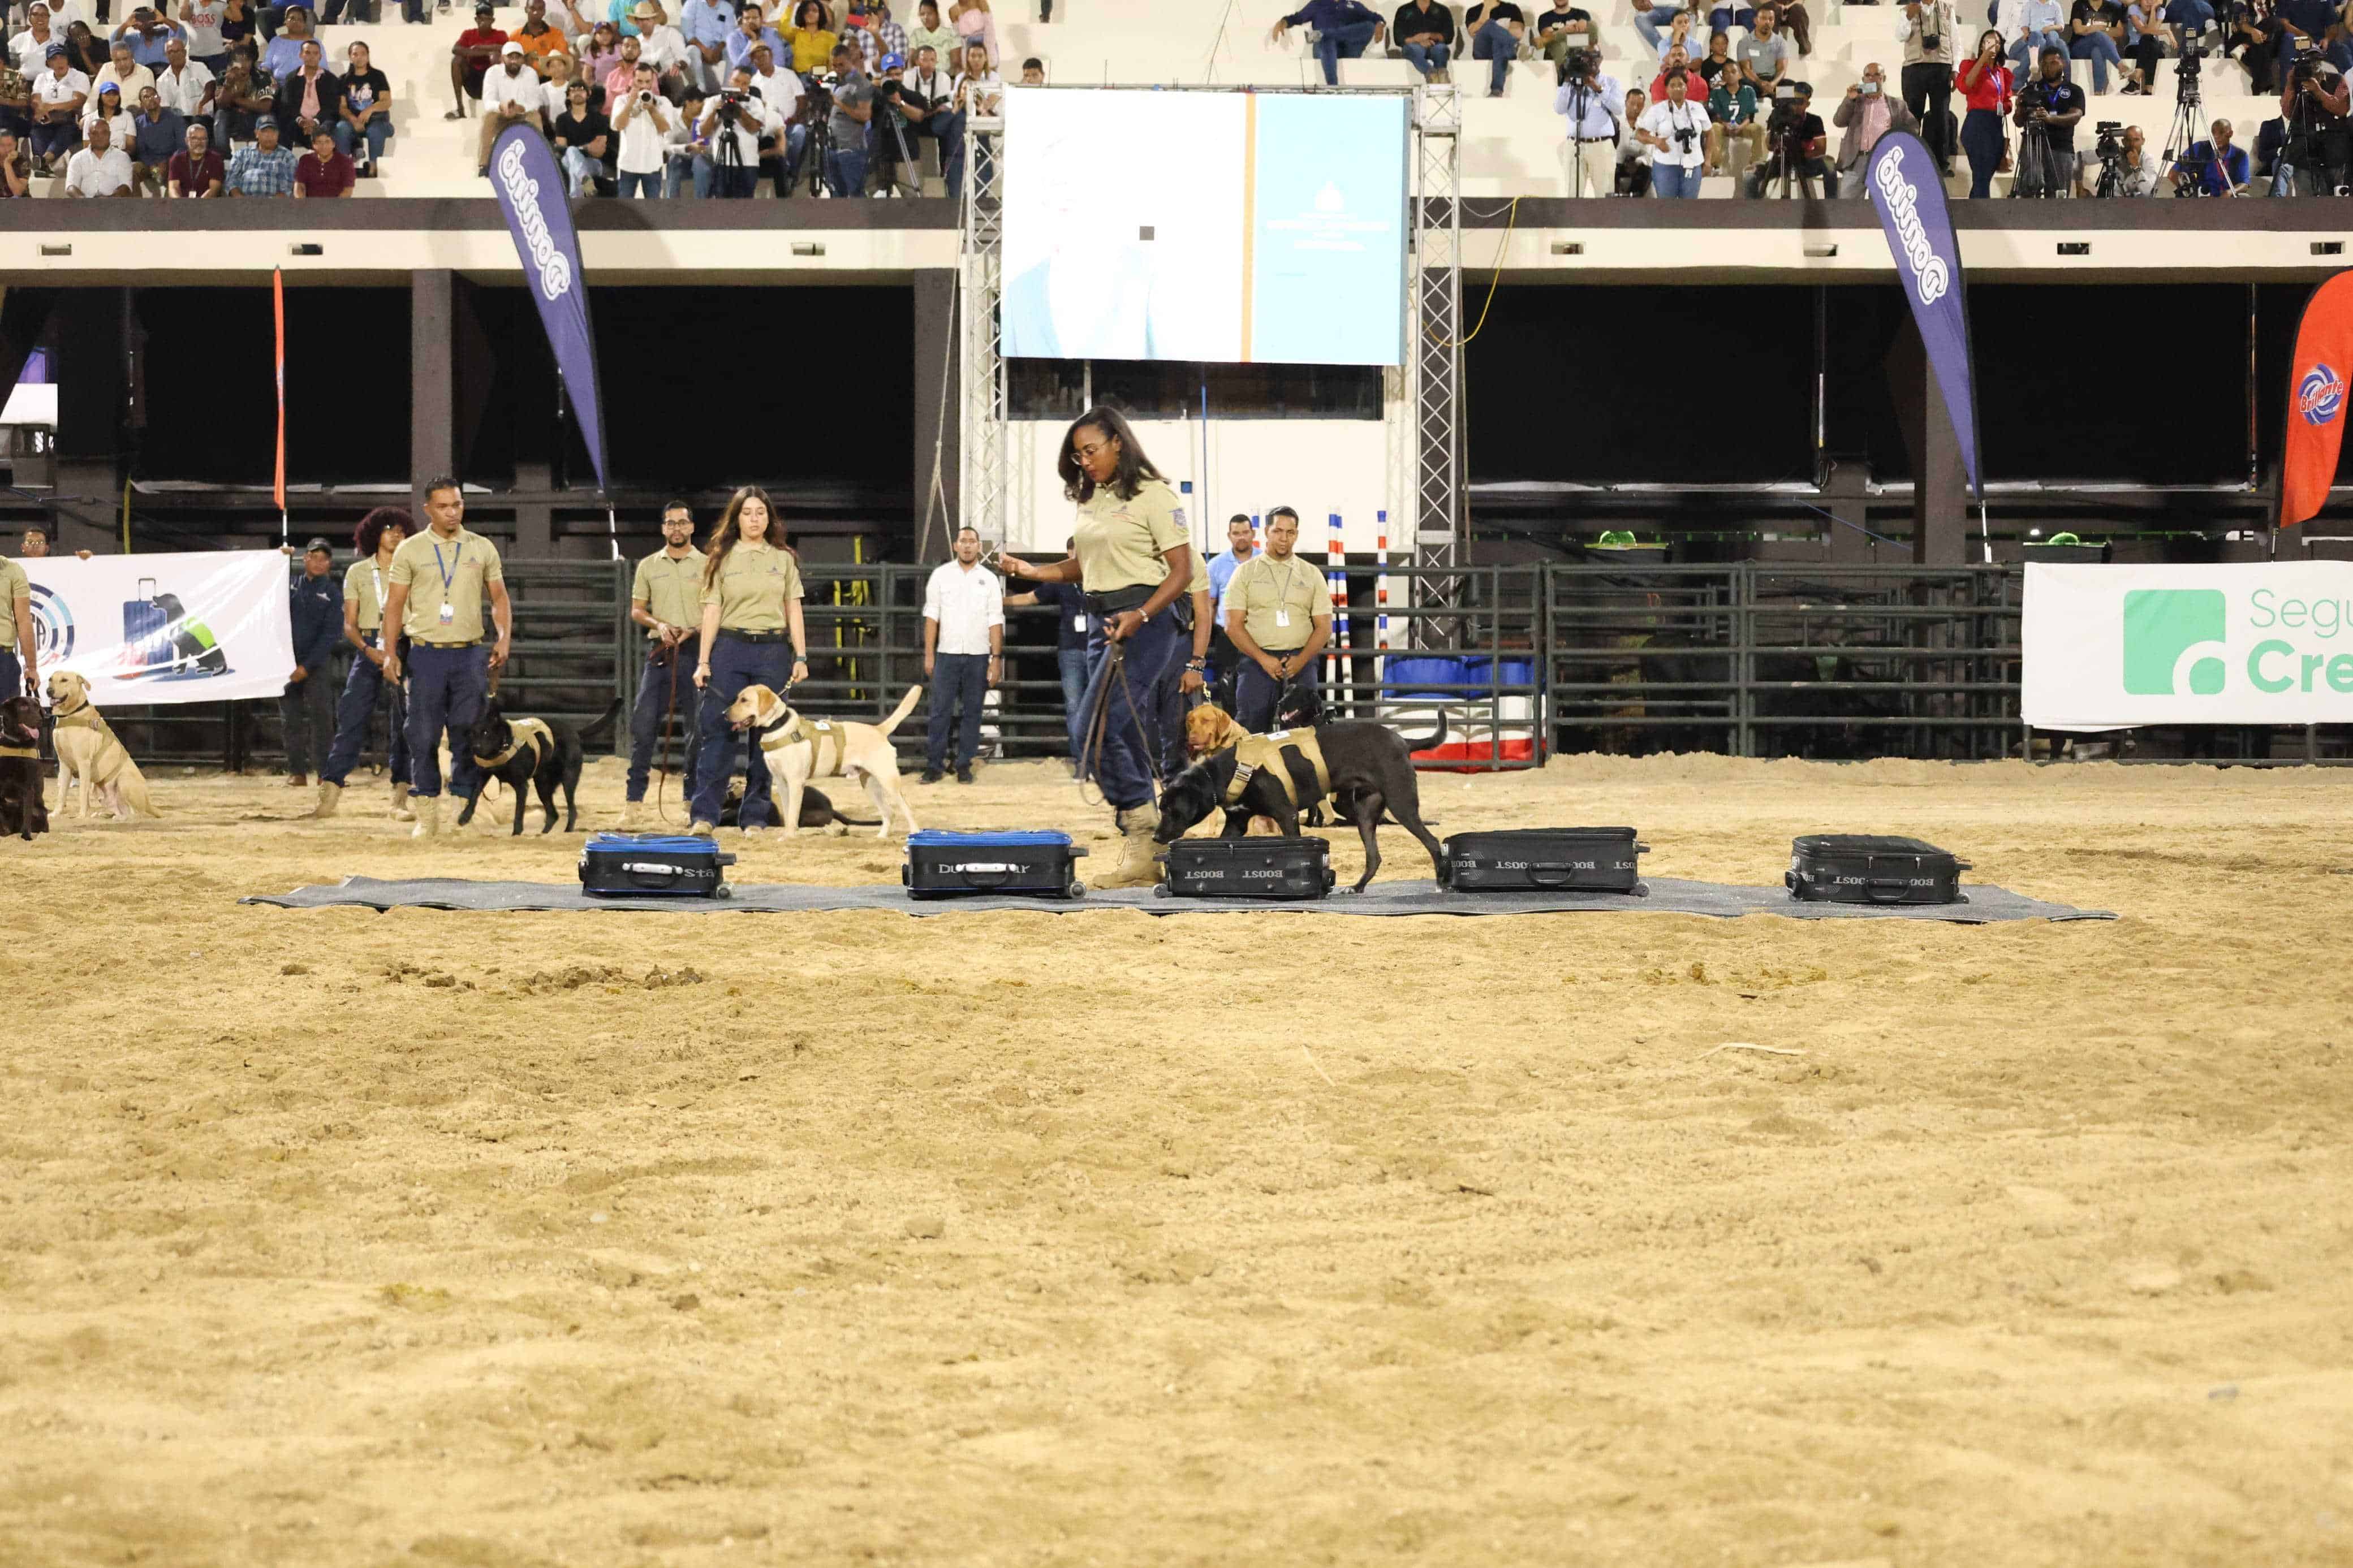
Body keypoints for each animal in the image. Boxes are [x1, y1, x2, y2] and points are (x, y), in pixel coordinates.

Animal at [0, 700, 49, 846]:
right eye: (23, 707)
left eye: (37, 708)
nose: (39, 720)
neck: (17, 743)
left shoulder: (28, 788)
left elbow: (26, 816)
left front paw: (26, 836)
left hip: (39, 812)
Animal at [44, 672, 161, 823]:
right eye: (50, 679)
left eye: (64, 680)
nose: (49, 691)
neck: (71, 713)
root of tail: (149, 803)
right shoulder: (64, 764)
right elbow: (61, 794)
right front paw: (55, 814)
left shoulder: (83, 763)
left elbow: (82, 793)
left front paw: (81, 816)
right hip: (101, 792)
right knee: (123, 811)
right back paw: (107, 815)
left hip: (124, 780)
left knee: (138, 814)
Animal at [459, 700, 621, 841]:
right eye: (472, 734)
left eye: (486, 733)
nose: (475, 748)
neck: (504, 744)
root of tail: (575, 732)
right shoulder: (484, 775)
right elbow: (474, 794)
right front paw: (465, 817)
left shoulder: (522, 786)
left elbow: (519, 812)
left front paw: (516, 833)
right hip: (543, 785)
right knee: (553, 814)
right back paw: (543, 834)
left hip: (568, 780)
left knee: (572, 810)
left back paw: (567, 831)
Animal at [719, 681, 922, 841]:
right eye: (738, 698)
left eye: (745, 700)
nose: (724, 714)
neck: (777, 727)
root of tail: (879, 729)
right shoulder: (781, 782)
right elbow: (788, 812)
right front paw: (787, 835)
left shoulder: (795, 782)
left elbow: (793, 813)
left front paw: (789, 837)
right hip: (870, 784)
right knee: (889, 813)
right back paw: (881, 837)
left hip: (888, 780)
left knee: (907, 809)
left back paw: (914, 834)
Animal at [1148, 719, 1440, 888]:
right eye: (1162, 809)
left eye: (1173, 811)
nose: (1156, 837)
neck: (1226, 773)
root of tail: (1403, 740)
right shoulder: (1236, 823)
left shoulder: (1286, 815)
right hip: (1366, 812)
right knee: (1374, 857)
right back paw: (1357, 887)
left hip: (1401, 804)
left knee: (1434, 843)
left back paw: (1441, 884)